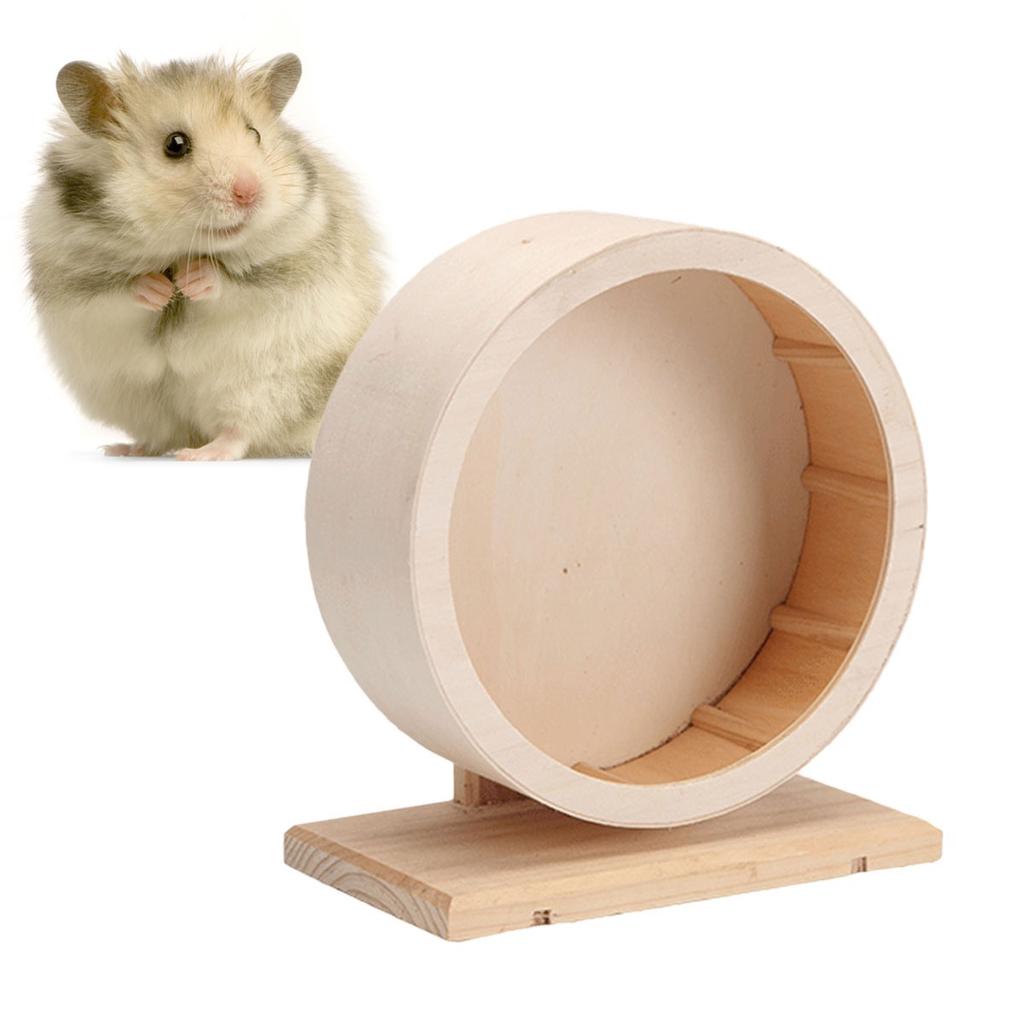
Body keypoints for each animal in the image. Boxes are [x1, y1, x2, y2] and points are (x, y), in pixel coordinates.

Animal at [25, 54, 382, 459]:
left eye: (255, 134)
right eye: (176, 144)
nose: (250, 193)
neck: (180, 248)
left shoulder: (292, 263)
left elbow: (234, 285)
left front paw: (191, 279)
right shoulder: (72, 282)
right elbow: (118, 293)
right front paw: (159, 289)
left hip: (266, 388)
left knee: (241, 431)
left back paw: (200, 454)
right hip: (136, 400)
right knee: (164, 433)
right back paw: (125, 448)